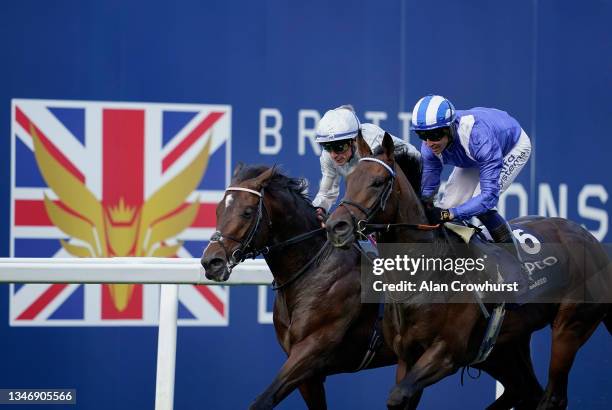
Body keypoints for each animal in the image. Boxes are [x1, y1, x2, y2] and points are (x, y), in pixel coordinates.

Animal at [328, 133, 608, 408]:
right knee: (527, 391)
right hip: (508, 344)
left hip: (570, 326)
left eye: (377, 182)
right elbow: (399, 396)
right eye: (349, 180)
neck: (424, 275)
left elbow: (398, 395)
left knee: (553, 397)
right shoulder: (406, 357)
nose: (336, 226)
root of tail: (592, 240)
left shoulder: (447, 353)